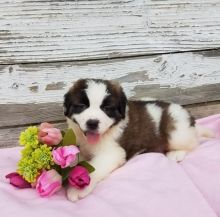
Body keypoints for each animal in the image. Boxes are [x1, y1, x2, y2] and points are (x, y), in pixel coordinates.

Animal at [64, 78, 206, 202]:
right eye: (81, 106)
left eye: (106, 109)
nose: (92, 123)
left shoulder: (113, 153)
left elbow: (94, 167)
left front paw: (78, 189)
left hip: (177, 132)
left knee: (193, 143)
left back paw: (176, 153)